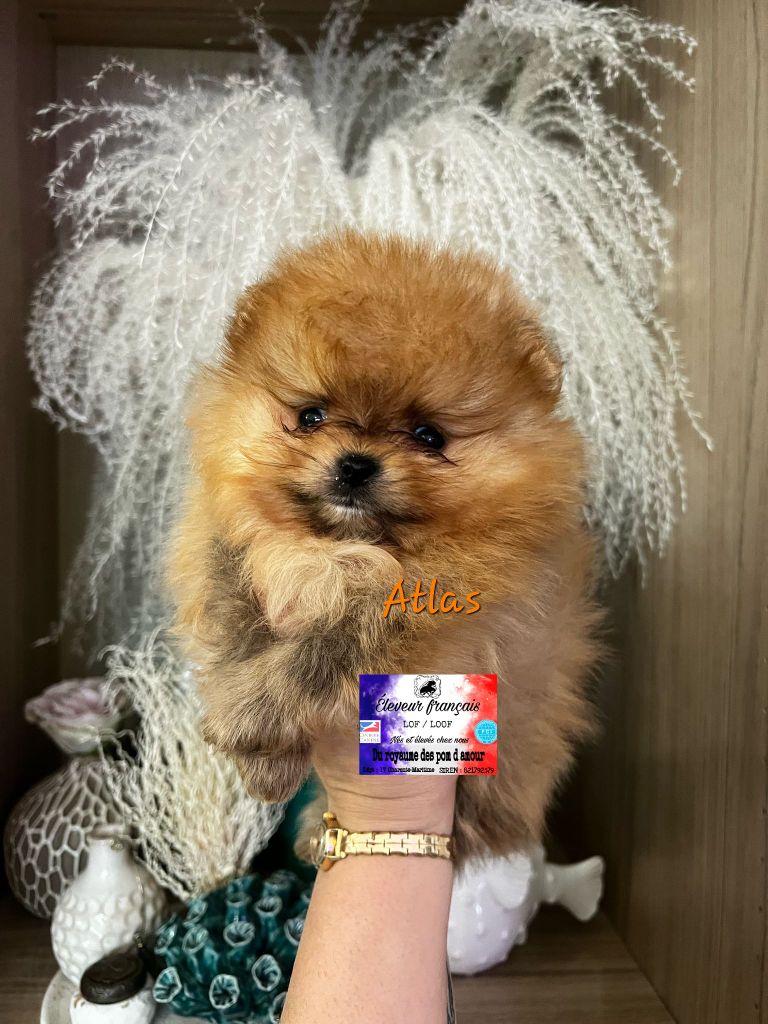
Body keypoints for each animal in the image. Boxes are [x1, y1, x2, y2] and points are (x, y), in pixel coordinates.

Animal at [169, 230, 600, 864]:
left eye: (429, 436)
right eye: (310, 415)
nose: (355, 464)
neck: (340, 550)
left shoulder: (447, 616)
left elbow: (328, 649)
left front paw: (253, 718)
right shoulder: (232, 547)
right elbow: (238, 625)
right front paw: (261, 756)